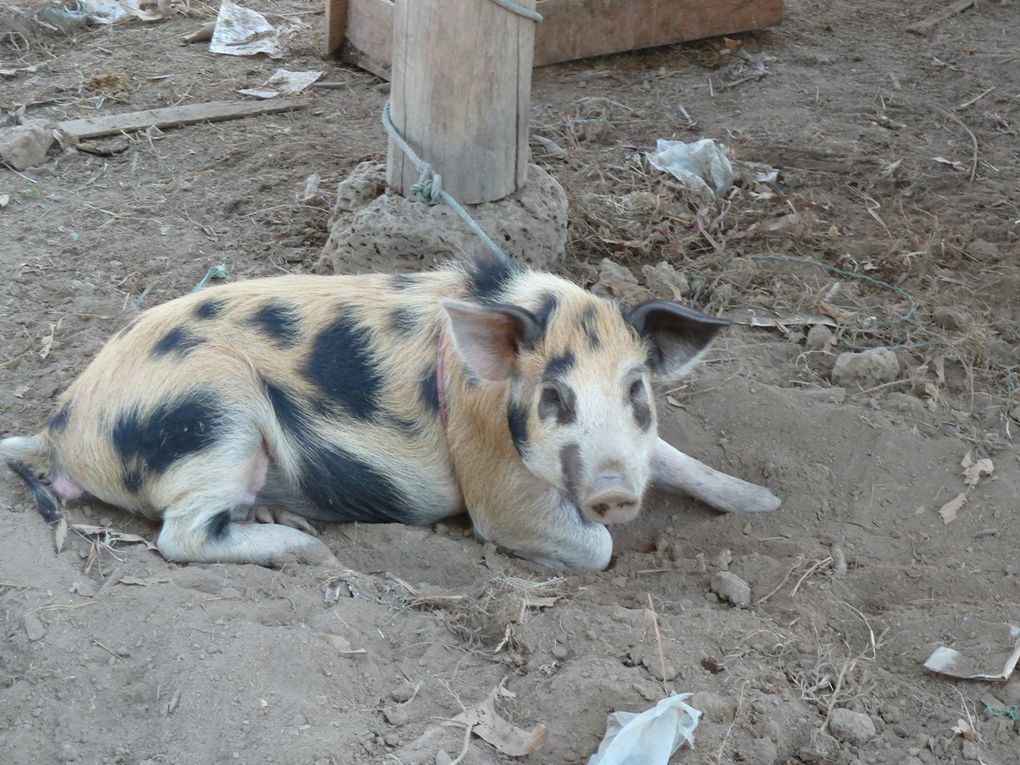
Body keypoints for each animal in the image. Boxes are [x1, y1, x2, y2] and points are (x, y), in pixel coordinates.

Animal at [1, 256, 779, 571]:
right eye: (554, 396)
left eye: (637, 389)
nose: (615, 491)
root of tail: (59, 428)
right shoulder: (494, 481)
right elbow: (595, 547)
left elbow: (677, 459)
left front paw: (766, 502)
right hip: (214, 415)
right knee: (180, 536)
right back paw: (308, 549)